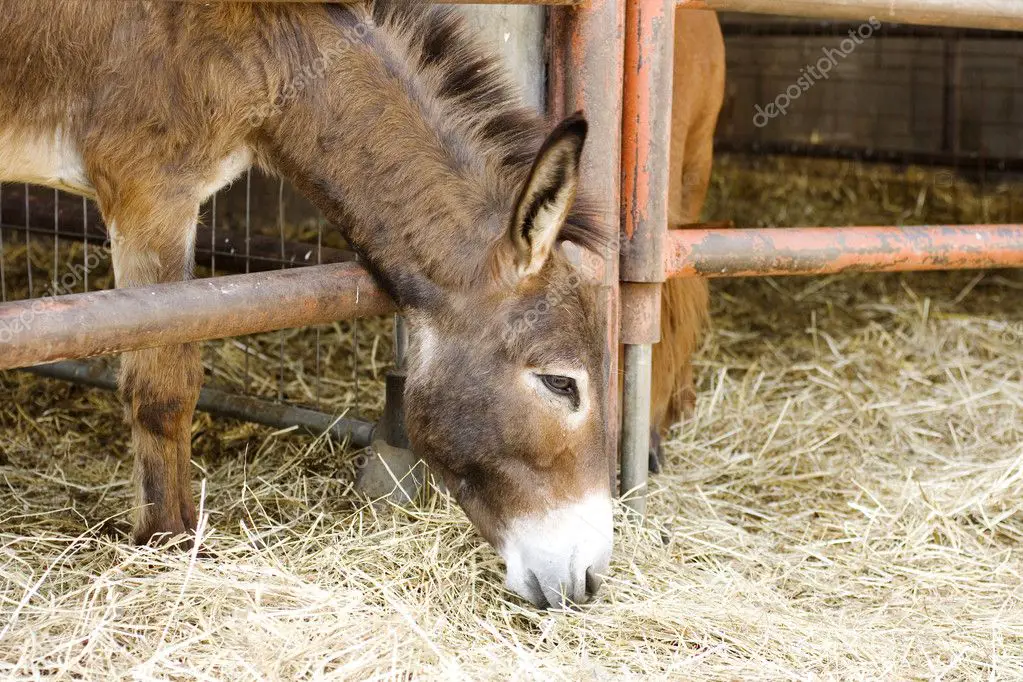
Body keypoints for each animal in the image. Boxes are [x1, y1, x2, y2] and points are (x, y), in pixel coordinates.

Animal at [0, 0, 605, 609]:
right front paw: (169, 545)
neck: (273, 43)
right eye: (561, 384)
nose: (591, 581)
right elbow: (165, 387)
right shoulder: (150, 189)